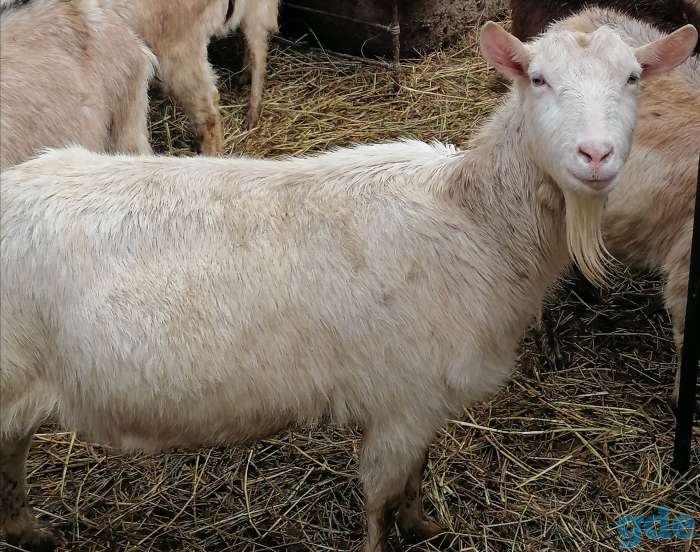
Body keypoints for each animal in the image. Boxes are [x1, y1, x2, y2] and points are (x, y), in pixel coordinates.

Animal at [1, 21, 696, 552]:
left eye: (633, 78)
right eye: (538, 79)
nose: (596, 156)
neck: (474, 221)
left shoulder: (425, 400)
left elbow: (416, 476)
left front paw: (425, 524)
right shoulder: (401, 399)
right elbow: (381, 497)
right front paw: (391, 534)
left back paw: (31, 532)